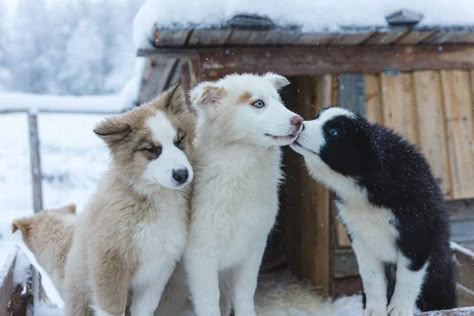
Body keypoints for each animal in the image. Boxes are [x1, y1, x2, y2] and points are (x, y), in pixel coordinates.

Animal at [63, 85, 196, 316]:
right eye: (152, 149)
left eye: (179, 141)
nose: (182, 174)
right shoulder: (109, 266)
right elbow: (112, 310)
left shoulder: (158, 270)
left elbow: (144, 309)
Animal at [183, 73, 302, 316]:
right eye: (258, 103)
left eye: (279, 101)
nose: (299, 121)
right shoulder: (200, 255)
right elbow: (209, 302)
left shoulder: (252, 248)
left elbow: (245, 293)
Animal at [290, 107, 458, 314]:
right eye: (316, 118)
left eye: (333, 132)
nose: (300, 124)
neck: (364, 179)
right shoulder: (360, 237)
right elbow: (371, 278)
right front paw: (374, 310)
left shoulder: (417, 233)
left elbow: (407, 276)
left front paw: (399, 309)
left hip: (440, 276)